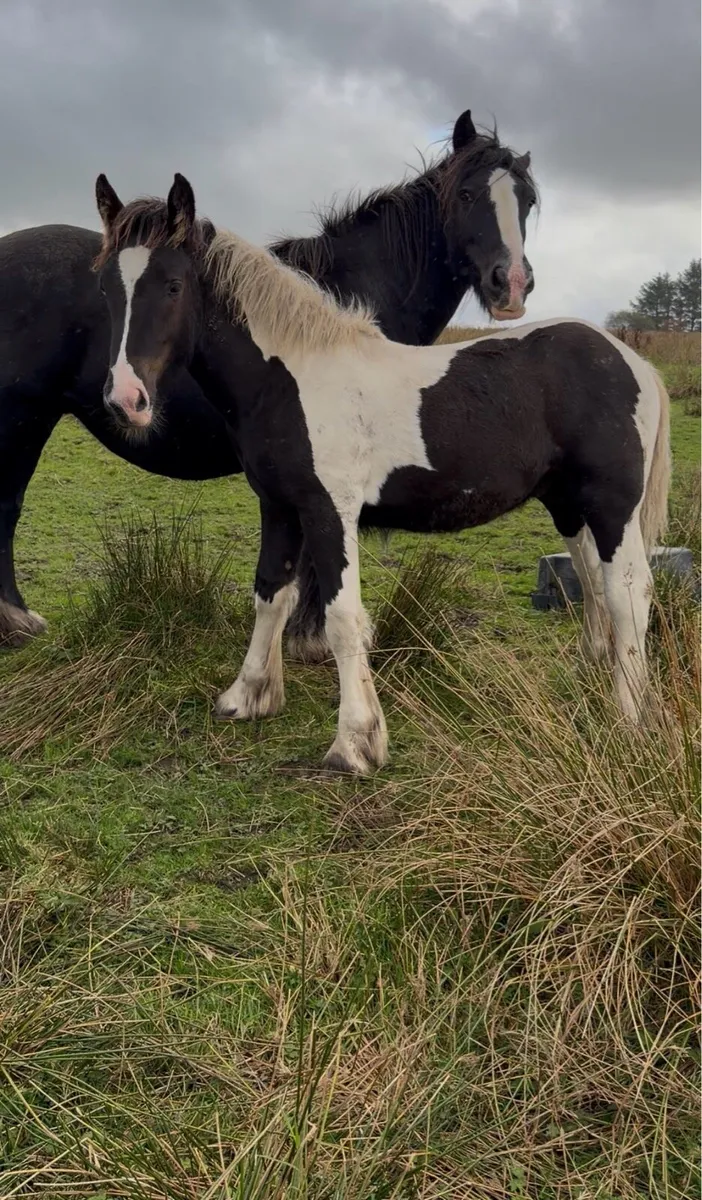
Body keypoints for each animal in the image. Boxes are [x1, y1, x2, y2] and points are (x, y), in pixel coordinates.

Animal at [0, 110, 536, 658]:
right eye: (466, 194)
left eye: (528, 200)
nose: (511, 285)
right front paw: (311, 638)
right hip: (21, 418)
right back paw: (18, 621)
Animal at [95, 173, 670, 775]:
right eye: (107, 288)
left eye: (173, 285)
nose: (126, 400)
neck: (290, 378)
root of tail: (633, 362)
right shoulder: (278, 505)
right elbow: (270, 594)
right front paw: (247, 697)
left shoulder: (330, 511)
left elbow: (342, 617)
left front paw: (356, 742)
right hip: (568, 504)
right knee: (593, 583)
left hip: (612, 507)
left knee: (628, 591)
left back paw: (627, 717)